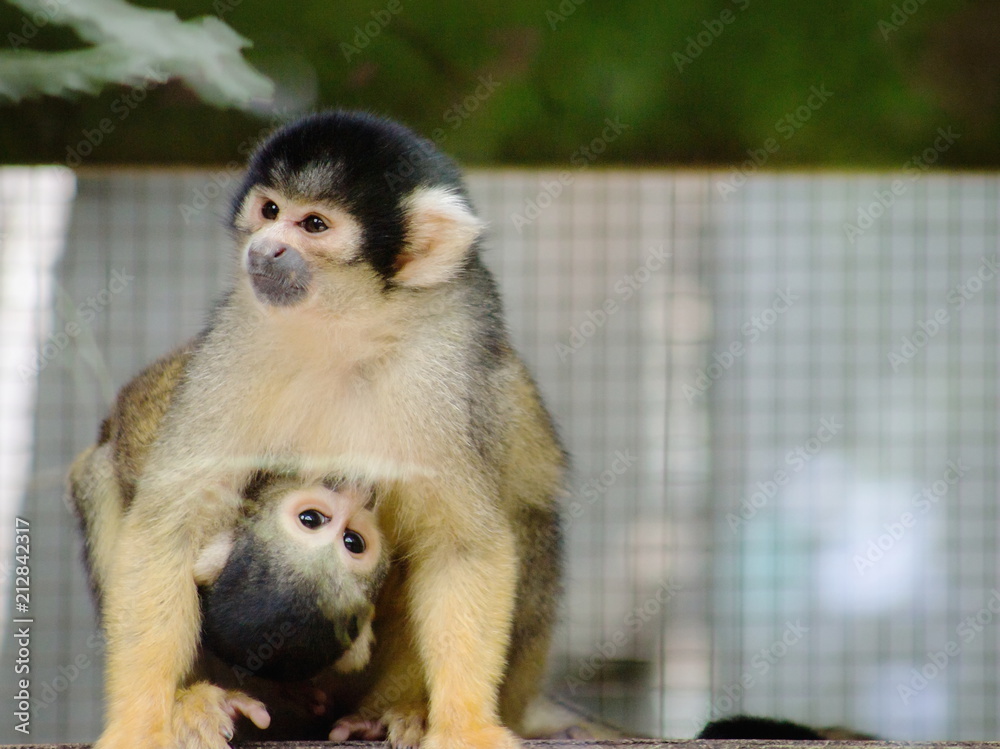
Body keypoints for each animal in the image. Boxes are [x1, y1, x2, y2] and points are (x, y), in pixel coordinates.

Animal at [79, 110, 566, 749]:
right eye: (269, 210)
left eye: (314, 224)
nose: (266, 248)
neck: (346, 332)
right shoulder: (241, 331)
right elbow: (170, 522)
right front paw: (142, 719)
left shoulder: (443, 362)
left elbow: (460, 544)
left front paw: (464, 722)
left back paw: (402, 708)